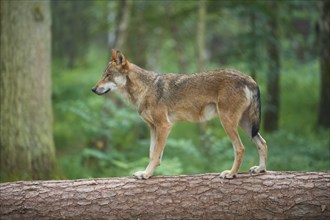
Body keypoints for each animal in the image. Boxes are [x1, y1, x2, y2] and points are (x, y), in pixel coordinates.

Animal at [91, 49, 266, 179]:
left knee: (240, 148)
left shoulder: (164, 126)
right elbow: (152, 154)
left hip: (228, 123)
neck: (145, 89)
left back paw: (231, 174)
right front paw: (146, 173)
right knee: (262, 143)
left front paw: (146, 174)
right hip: (246, 125)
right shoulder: (153, 127)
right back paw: (260, 169)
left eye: (108, 75)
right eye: (103, 75)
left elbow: (155, 155)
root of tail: (249, 78)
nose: (93, 89)